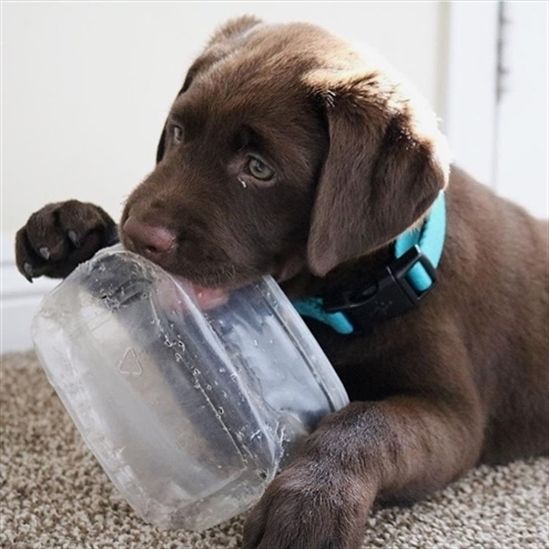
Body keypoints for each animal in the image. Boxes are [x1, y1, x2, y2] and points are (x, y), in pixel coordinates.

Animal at [15, 17, 544, 548]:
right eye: (178, 132)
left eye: (259, 169)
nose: (142, 234)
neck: (348, 292)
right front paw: (75, 228)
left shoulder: (454, 414)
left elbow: (367, 420)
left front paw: (311, 502)